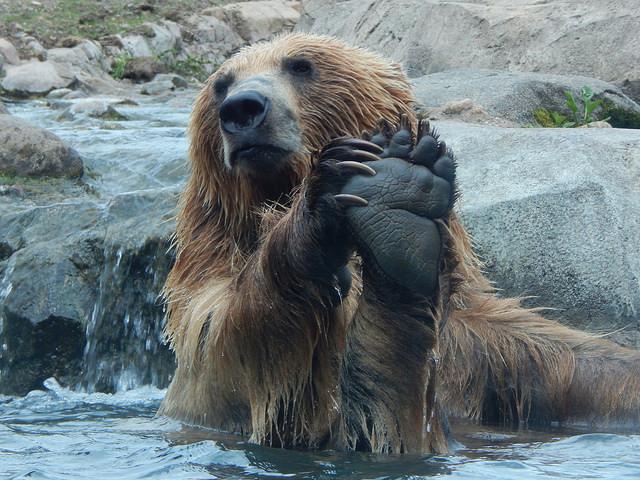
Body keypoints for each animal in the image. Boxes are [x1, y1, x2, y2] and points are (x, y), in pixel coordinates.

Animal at [158, 33, 640, 454]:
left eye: (301, 65)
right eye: (221, 83)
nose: (243, 107)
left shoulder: (492, 355)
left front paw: (396, 187)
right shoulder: (207, 318)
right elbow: (230, 345)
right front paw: (341, 206)